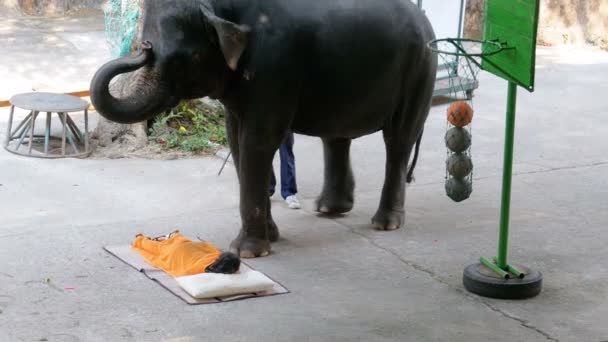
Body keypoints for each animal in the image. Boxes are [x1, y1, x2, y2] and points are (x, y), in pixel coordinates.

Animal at [91, 0, 436, 256]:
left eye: (180, 59)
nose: (143, 48)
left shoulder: (276, 63)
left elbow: (258, 141)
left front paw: (247, 252)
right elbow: (236, 141)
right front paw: (271, 237)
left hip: (420, 67)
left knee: (398, 139)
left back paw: (385, 223)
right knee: (336, 136)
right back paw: (329, 209)